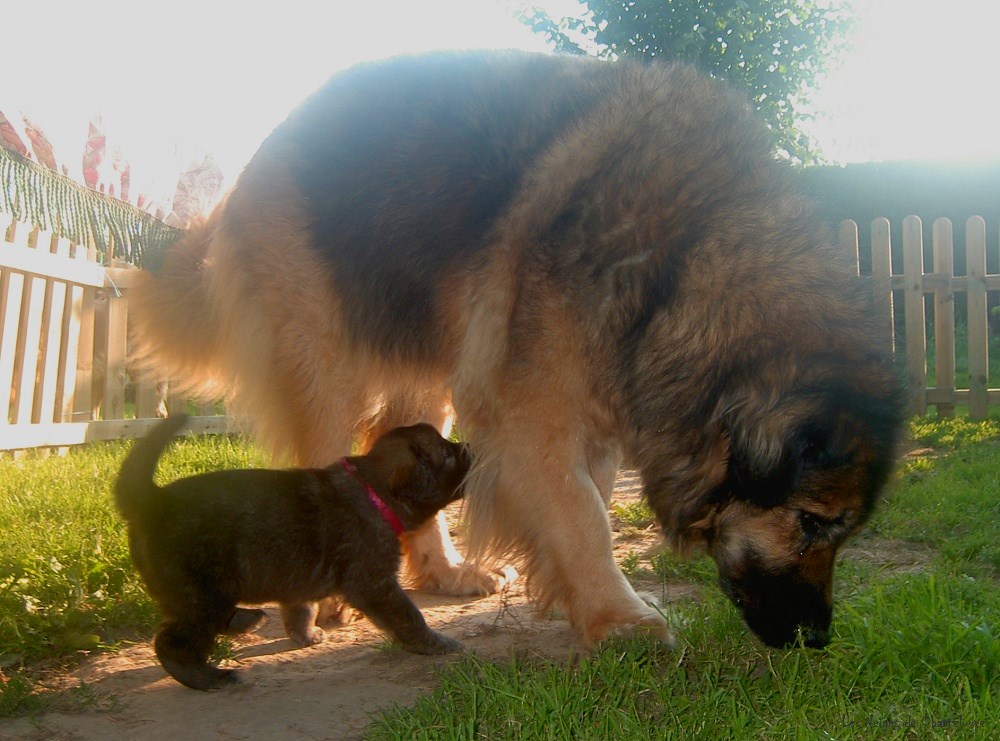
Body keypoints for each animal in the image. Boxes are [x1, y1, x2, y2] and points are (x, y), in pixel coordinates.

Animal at [114, 414, 468, 692]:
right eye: (446, 455)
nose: (469, 448)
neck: (374, 490)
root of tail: (152, 501)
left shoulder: (299, 576)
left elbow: (301, 608)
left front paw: (305, 633)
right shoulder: (375, 584)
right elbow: (409, 616)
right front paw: (436, 644)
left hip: (210, 594)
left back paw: (245, 620)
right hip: (203, 595)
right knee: (173, 642)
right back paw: (209, 677)